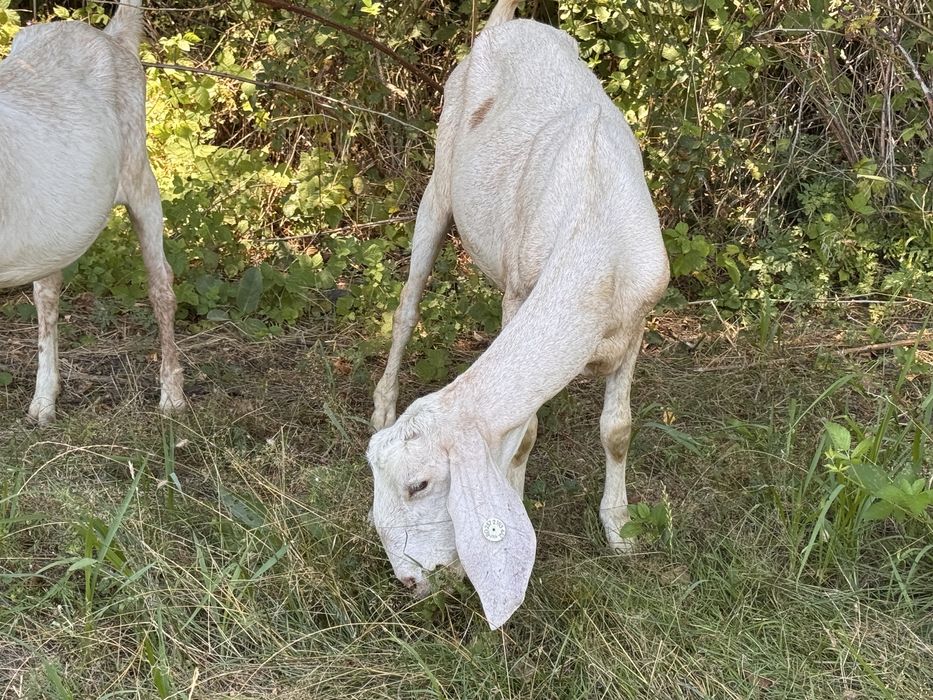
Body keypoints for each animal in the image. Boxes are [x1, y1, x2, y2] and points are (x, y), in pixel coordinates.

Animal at [0, 1, 185, 423]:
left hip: (140, 176)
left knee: (161, 284)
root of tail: (112, 36)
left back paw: (172, 398)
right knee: (47, 295)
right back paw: (43, 403)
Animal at [367, 0, 670, 629]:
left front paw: (620, 530)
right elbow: (525, 431)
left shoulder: (636, 324)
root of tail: (507, 24)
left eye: (419, 484)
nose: (408, 582)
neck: (596, 236)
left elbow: (617, 430)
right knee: (407, 307)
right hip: (439, 182)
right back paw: (383, 401)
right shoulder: (518, 295)